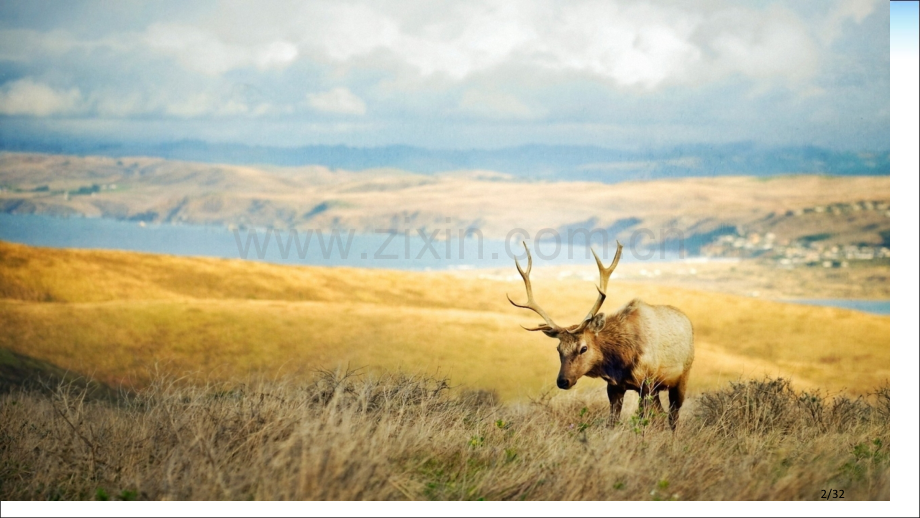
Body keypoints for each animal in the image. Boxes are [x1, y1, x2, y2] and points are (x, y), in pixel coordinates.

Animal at [506, 242, 692, 428]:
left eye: (583, 348)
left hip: (681, 378)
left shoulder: (646, 383)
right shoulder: (614, 387)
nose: (562, 381)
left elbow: (642, 421)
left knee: (673, 417)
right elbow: (612, 422)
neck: (621, 361)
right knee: (662, 413)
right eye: (558, 349)